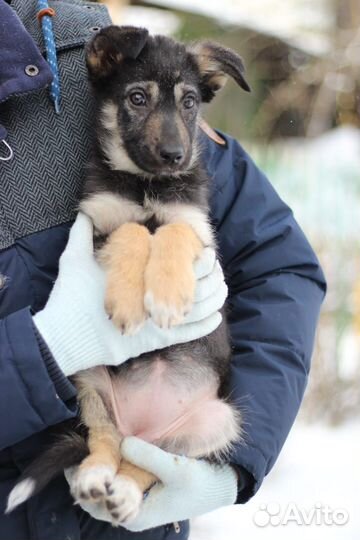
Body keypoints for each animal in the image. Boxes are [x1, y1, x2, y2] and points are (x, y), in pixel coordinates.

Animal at [6, 26, 250, 528]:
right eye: (137, 98)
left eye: (190, 102)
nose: (175, 156)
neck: (145, 185)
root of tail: (142, 425)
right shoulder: (98, 223)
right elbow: (133, 231)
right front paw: (130, 302)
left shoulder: (199, 232)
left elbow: (172, 230)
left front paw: (167, 298)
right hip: (87, 380)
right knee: (106, 441)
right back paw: (95, 477)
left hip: (216, 422)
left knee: (150, 462)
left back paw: (125, 493)